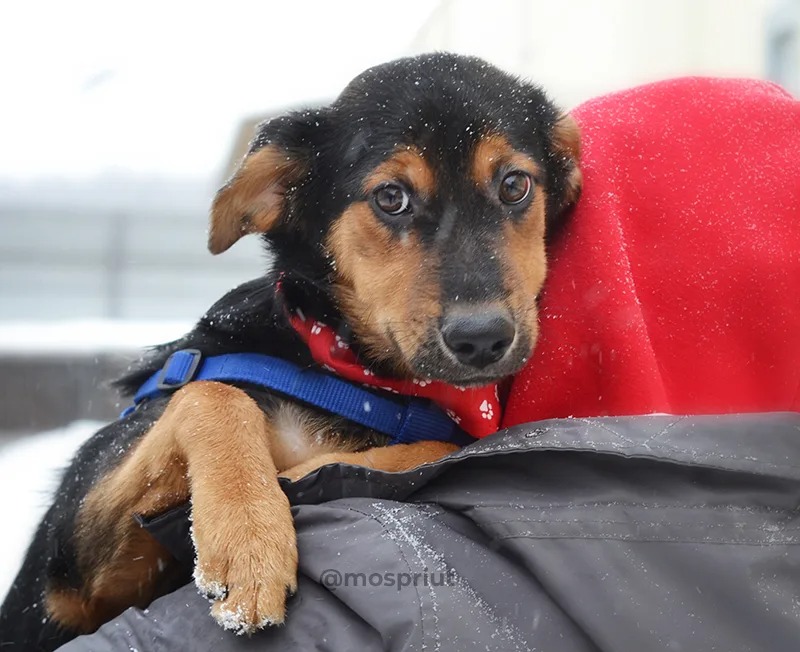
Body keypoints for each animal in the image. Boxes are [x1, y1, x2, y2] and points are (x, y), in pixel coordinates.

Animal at [0, 53, 580, 648]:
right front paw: (249, 542)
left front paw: (310, 476)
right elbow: (213, 396)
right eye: (390, 197)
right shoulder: (71, 569)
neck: (346, 369)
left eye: (515, 185)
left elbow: (443, 446)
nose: (481, 336)